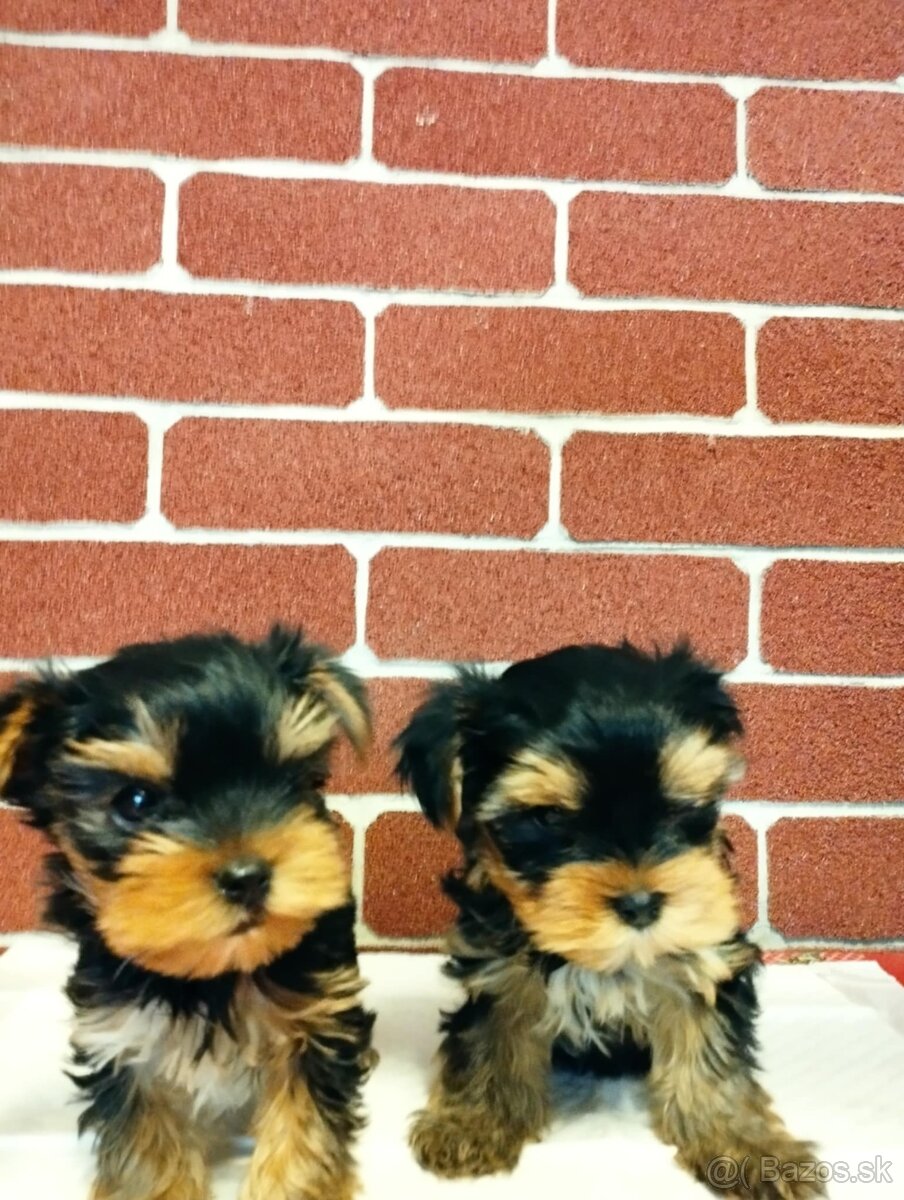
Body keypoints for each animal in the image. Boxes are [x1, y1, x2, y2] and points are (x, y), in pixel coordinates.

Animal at [0, 628, 374, 1200]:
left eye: (291, 780)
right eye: (135, 801)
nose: (248, 876)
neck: (208, 976)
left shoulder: (317, 1021)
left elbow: (302, 1130)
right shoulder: (118, 1039)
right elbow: (146, 1145)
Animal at [398, 648, 821, 1200]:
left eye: (680, 804)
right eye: (548, 818)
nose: (641, 903)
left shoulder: (705, 955)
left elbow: (711, 1052)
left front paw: (748, 1145)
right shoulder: (495, 966)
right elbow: (490, 1039)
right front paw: (474, 1122)